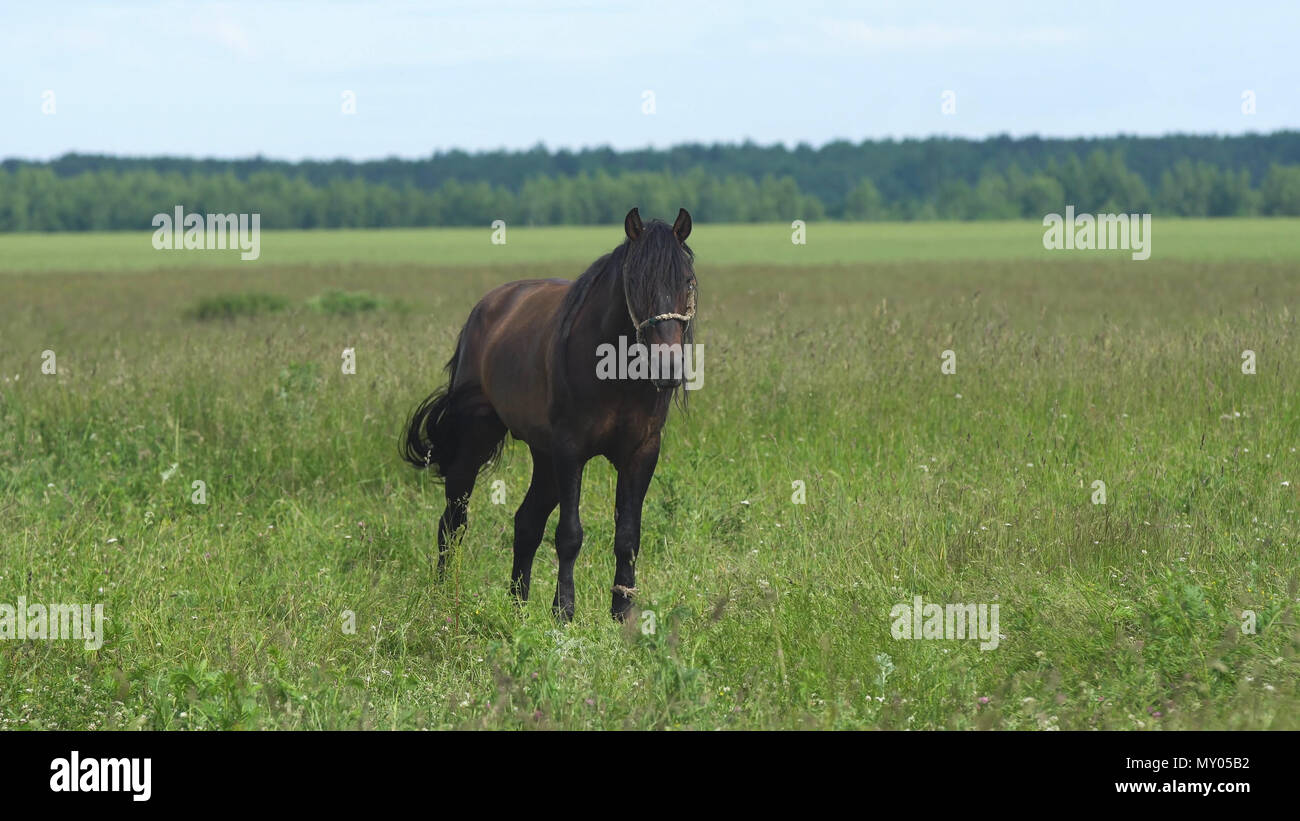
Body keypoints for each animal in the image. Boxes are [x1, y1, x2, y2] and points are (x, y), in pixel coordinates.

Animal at [401, 208, 697, 621]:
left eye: (687, 280)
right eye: (635, 282)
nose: (667, 368)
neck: (615, 371)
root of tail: (487, 307)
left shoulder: (641, 452)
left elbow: (628, 536)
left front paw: (622, 611)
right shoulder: (570, 450)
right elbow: (569, 534)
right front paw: (564, 611)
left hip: (543, 457)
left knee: (526, 522)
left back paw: (517, 604)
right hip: (479, 439)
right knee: (453, 519)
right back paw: (443, 592)